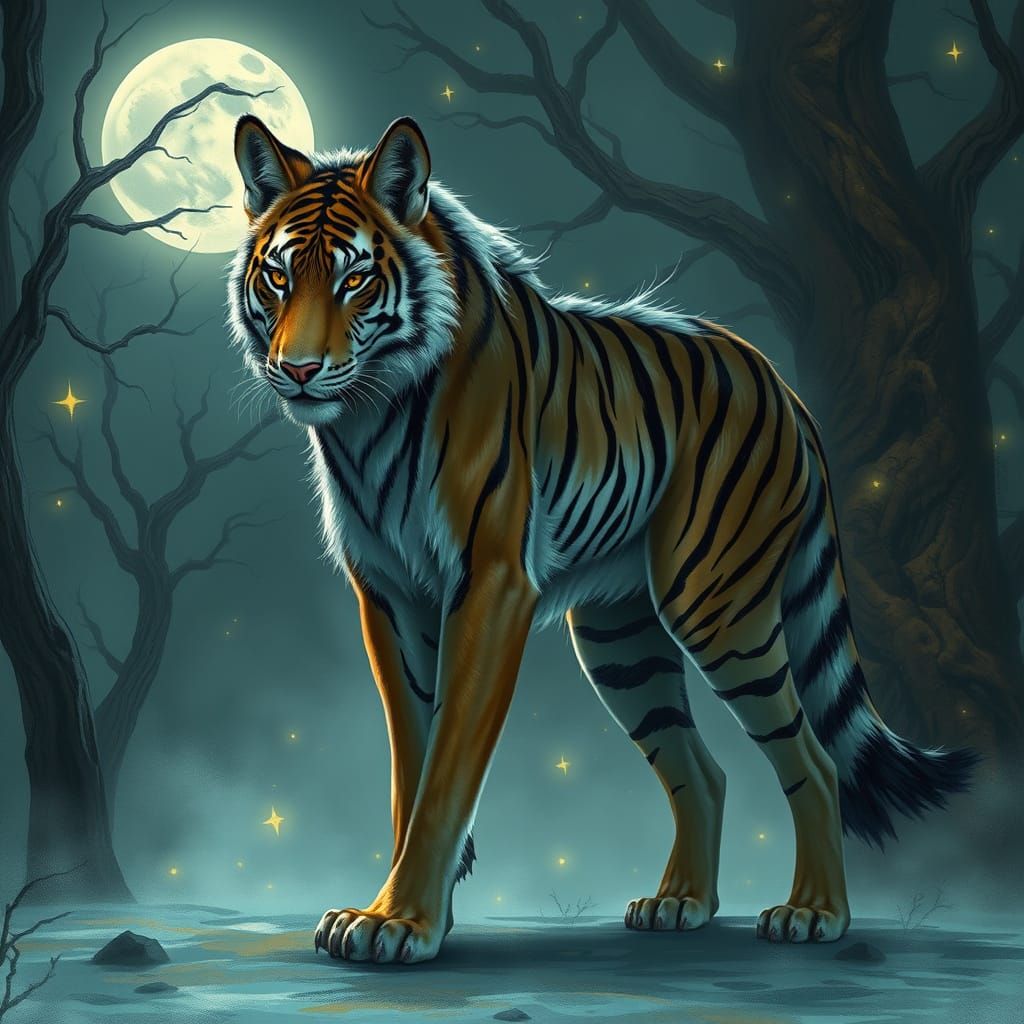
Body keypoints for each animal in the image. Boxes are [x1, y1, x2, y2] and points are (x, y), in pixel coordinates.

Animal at [228, 114, 976, 965]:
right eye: (279, 277)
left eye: (353, 280)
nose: (298, 370)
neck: (371, 415)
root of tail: (779, 382)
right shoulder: (387, 594)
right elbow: (408, 765)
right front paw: (397, 910)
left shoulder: (489, 585)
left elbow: (447, 767)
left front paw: (401, 922)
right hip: (622, 640)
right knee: (703, 771)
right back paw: (680, 903)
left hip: (719, 608)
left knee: (815, 763)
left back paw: (813, 914)